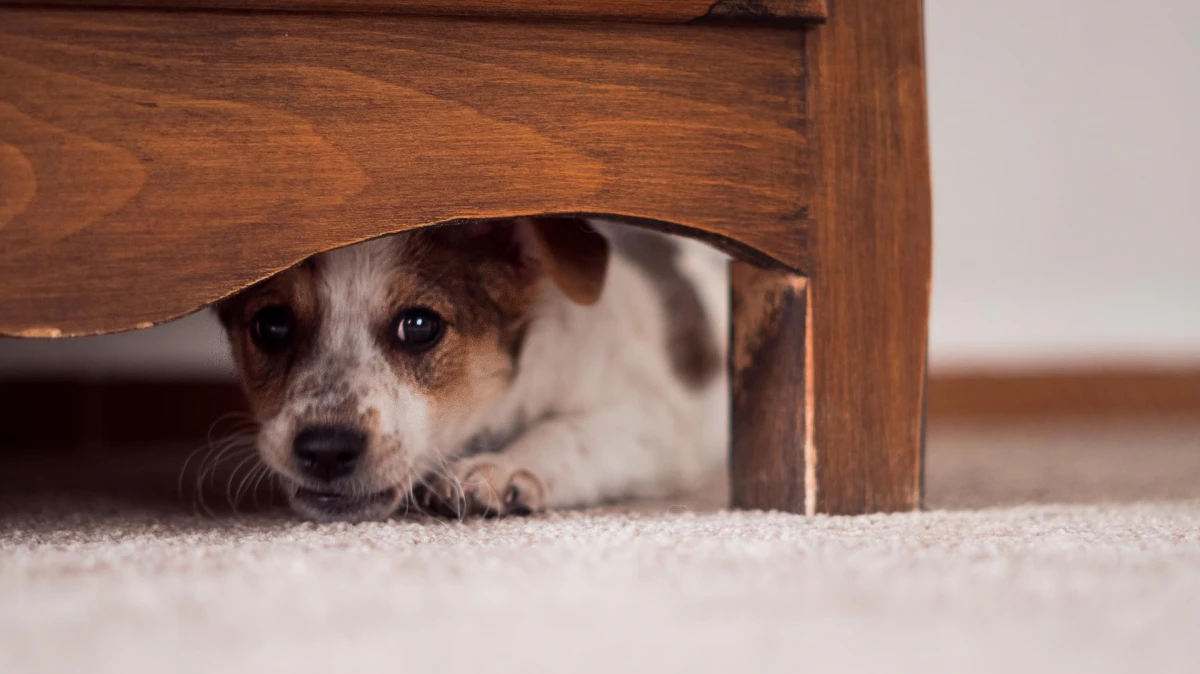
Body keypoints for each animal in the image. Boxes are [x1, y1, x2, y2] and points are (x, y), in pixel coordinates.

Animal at [219, 215, 724, 520]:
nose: (326, 449)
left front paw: (503, 466)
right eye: (271, 325)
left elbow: (569, 430)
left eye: (419, 326)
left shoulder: (654, 420)